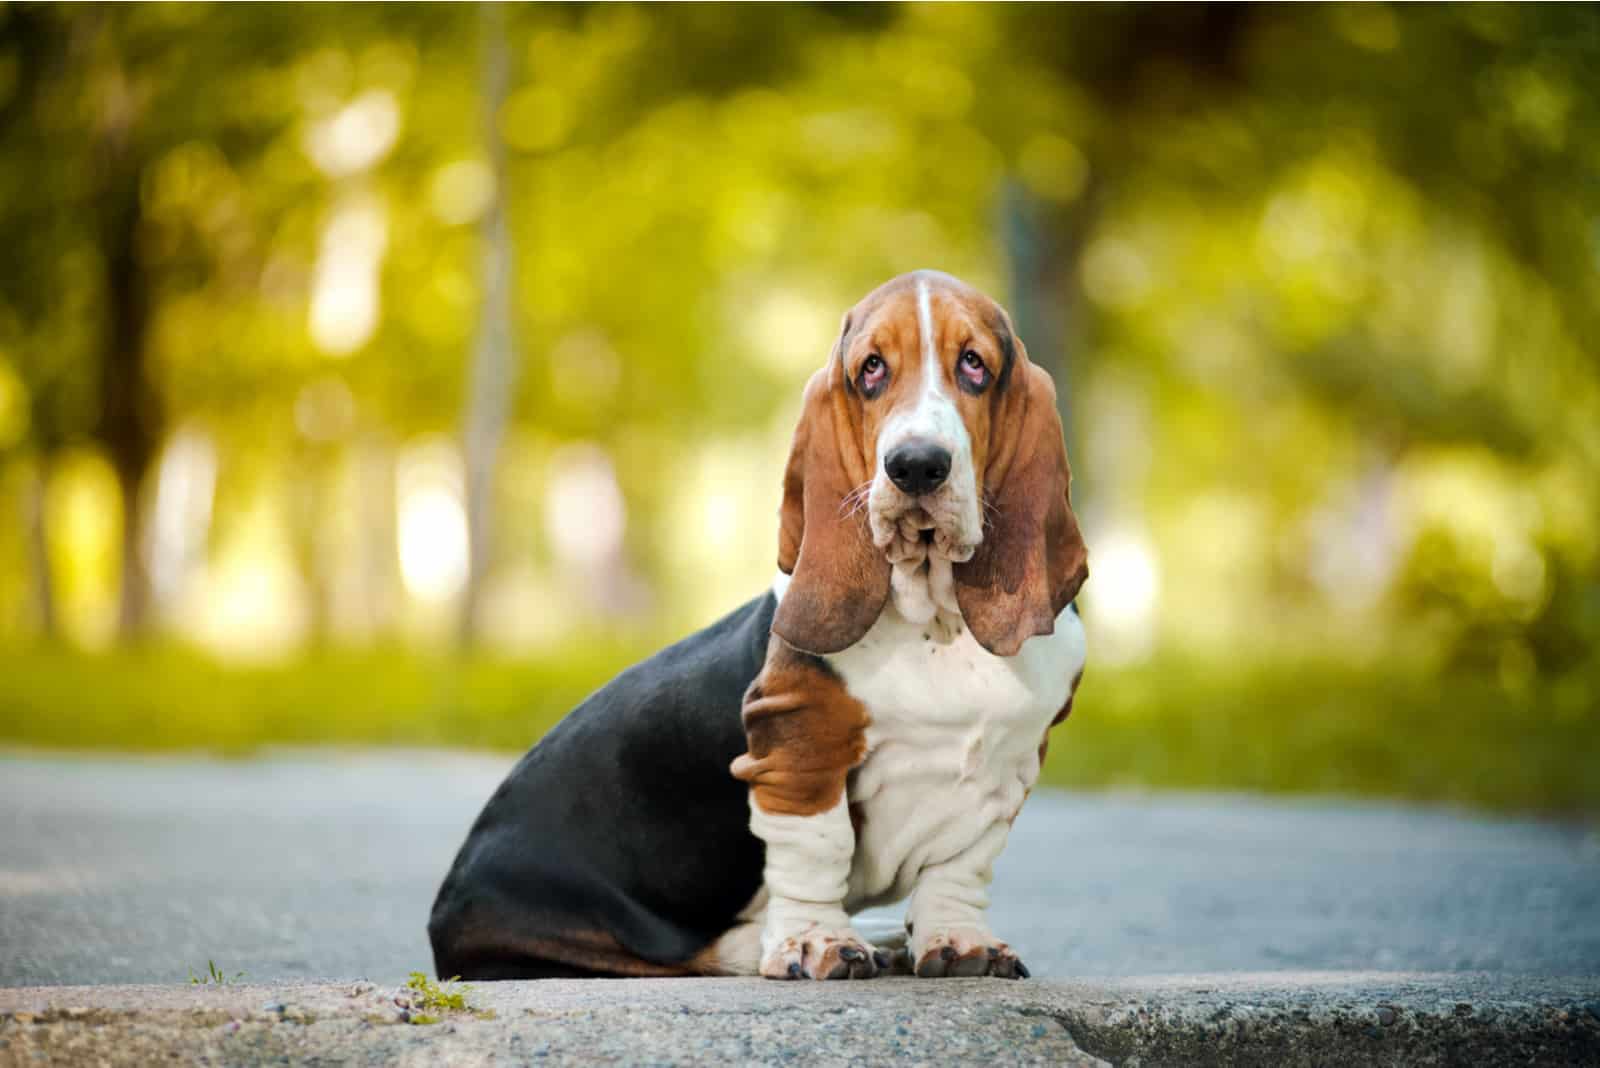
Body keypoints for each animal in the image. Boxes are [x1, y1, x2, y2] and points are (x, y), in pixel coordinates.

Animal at [428, 271, 1088, 978]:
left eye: (974, 365)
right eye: (871, 369)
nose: (914, 465)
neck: (937, 623)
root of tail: (442, 918)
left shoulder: (1008, 767)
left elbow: (959, 868)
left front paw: (960, 943)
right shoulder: (797, 752)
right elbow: (819, 849)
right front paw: (815, 943)